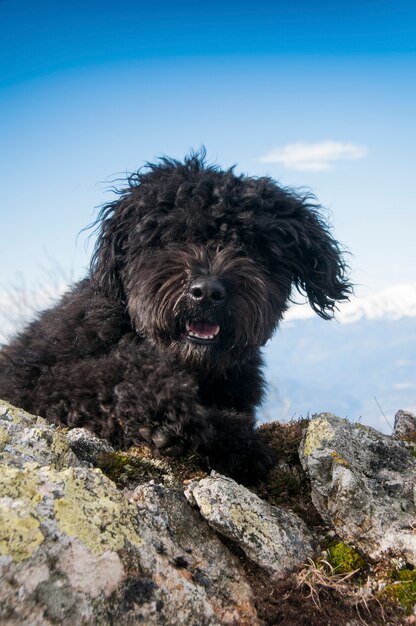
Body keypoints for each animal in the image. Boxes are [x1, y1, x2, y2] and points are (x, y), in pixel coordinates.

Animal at [0, 154, 352, 480]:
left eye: (251, 246)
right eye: (176, 236)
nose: (207, 292)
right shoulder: (30, 379)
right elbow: (104, 374)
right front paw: (171, 412)